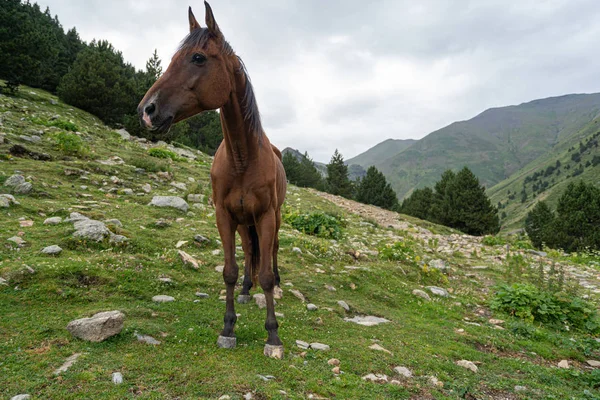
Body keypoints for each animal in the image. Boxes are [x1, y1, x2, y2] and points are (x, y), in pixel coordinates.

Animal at [137, 1, 288, 358]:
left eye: (197, 58)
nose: (146, 110)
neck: (242, 158)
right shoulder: (224, 215)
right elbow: (230, 271)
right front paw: (228, 327)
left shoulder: (265, 216)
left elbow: (264, 275)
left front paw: (272, 335)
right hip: (245, 221)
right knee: (249, 250)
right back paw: (246, 290)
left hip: (273, 218)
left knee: (272, 251)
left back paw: (277, 281)